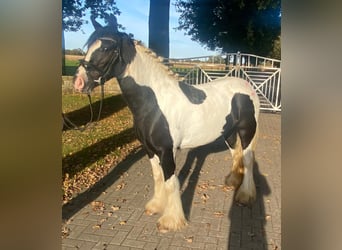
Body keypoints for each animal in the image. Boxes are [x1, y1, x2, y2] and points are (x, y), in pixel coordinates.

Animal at [73, 16, 260, 233]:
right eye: (88, 47)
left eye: (105, 48)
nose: (78, 82)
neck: (154, 102)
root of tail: (247, 86)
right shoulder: (149, 149)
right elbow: (157, 177)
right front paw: (155, 206)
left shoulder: (166, 150)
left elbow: (171, 181)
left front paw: (171, 220)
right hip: (228, 133)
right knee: (236, 154)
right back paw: (233, 181)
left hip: (247, 132)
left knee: (247, 159)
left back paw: (245, 196)